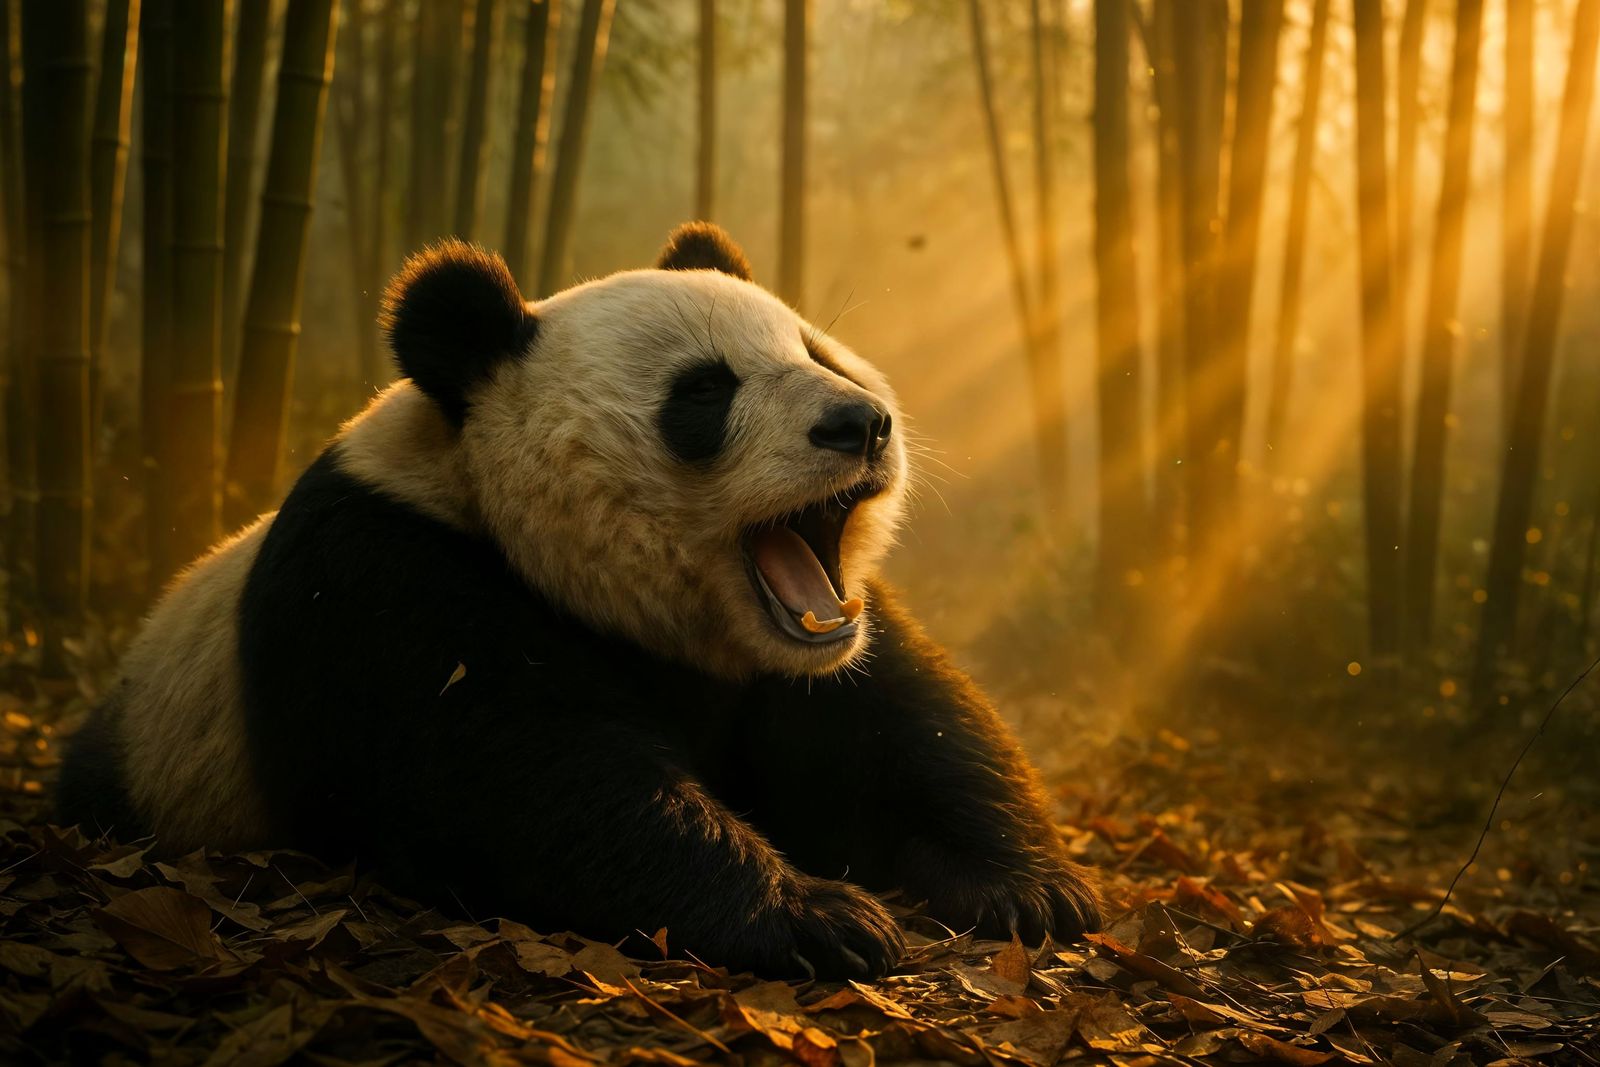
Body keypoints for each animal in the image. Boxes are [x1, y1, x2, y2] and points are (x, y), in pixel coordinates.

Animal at [58, 223, 1099, 979]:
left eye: (820, 351)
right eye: (705, 391)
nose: (861, 423)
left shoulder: (810, 654)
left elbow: (911, 727)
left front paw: (1030, 889)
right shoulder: (386, 576)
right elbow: (523, 773)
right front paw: (819, 916)